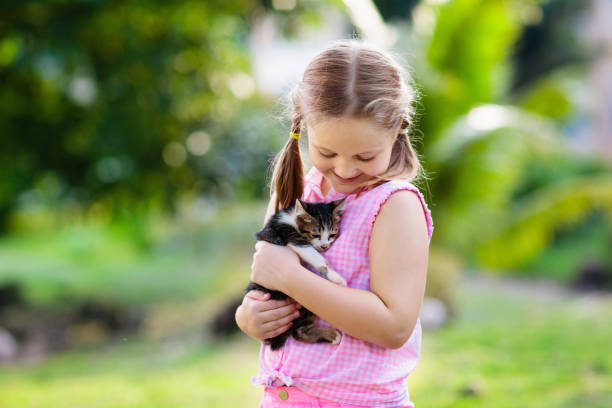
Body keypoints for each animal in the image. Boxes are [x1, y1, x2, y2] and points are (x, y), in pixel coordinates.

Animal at [246, 196, 346, 350]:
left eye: (332, 234)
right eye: (315, 234)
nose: (324, 246)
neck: (292, 218)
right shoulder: (288, 234)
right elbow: (314, 255)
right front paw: (337, 277)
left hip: (308, 303)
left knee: (299, 332)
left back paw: (330, 335)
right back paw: (332, 335)